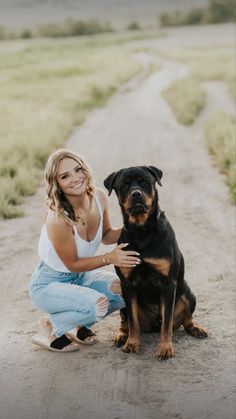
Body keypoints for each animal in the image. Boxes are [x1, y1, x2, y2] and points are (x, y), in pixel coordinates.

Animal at [104, 167, 207, 360]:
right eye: (124, 185)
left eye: (144, 182)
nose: (136, 194)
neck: (142, 230)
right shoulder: (127, 284)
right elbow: (133, 320)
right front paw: (132, 343)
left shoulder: (168, 284)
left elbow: (167, 322)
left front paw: (165, 348)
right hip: (122, 298)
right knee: (126, 320)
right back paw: (122, 334)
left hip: (188, 294)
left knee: (185, 318)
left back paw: (196, 328)